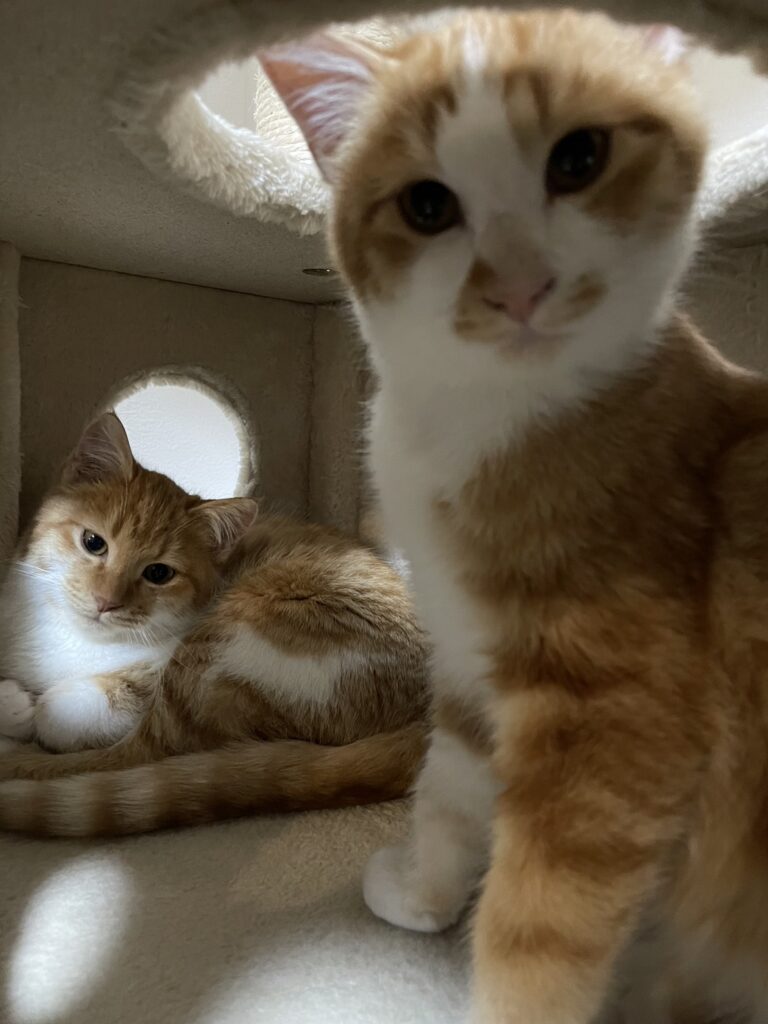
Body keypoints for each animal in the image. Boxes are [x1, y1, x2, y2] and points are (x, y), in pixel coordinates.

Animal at [0, 412, 428, 836]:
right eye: (93, 542)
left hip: (233, 644)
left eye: (158, 573)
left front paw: (30, 711)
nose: (107, 602)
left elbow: (63, 713)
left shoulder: (154, 675)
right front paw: (13, 702)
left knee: (145, 753)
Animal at [262, 10, 768, 1024]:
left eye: (579, 157)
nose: (520, 285)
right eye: (427, 205)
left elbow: (541, 923)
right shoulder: (464, 649)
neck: (483, 420)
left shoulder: (621, 721)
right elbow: (449, 784)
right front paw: (421, 891)